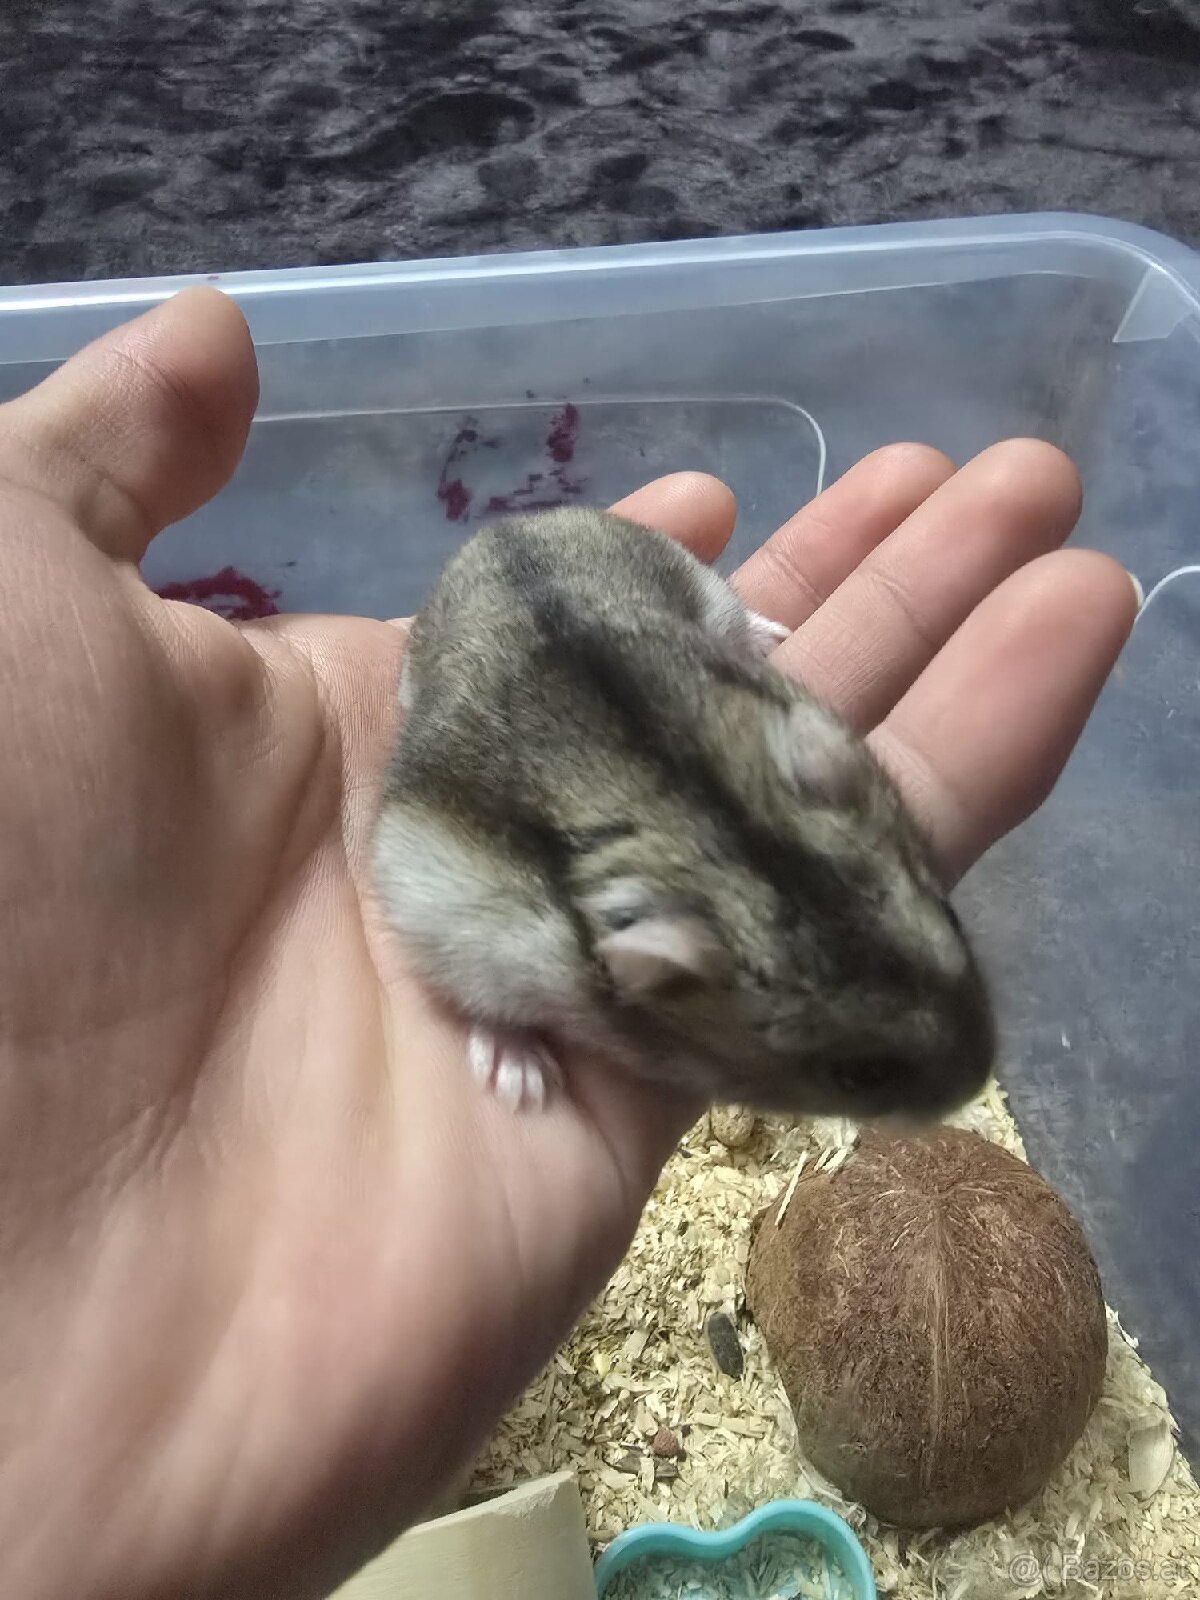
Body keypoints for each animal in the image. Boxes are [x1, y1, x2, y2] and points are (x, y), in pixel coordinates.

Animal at [372, 505, 995, 1120]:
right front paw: (523, 1087)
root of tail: (500, 526)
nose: (980, 1077)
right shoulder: (455, 915)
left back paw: (769, 635)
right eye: (861, 1074)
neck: (720, 836)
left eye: (953, 914)